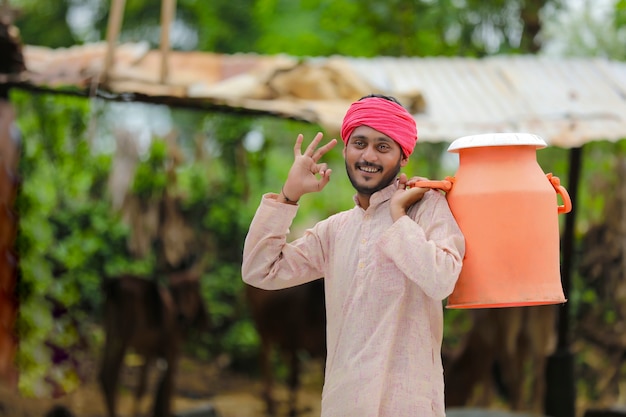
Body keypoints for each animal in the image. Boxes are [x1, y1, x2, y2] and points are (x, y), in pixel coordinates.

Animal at [98, 270, 208, 416]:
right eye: (178, 291)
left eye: (191, 291)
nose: (181, 316)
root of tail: (115, 283)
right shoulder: (172, 350)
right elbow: (168, 387)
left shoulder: (147, 352)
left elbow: (142, 388)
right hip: (123, 338)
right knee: (111, 377)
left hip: (109, 334)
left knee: (104, 376)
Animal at [244, 280, 324, 416]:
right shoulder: (293, 343)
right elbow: (294, 380)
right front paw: (292, 411)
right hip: (263, 328)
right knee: (266, 359)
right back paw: (270, 404)